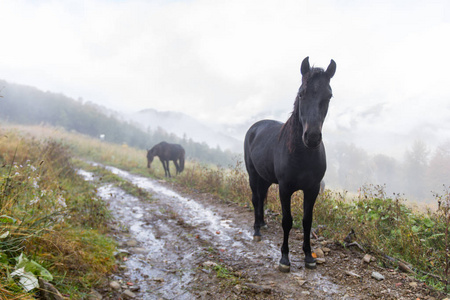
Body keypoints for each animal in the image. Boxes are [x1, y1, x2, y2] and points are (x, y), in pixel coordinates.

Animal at [244, 56, 336, 272]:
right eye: (302, 93)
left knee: (261, 197)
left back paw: (263, 223)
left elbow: (307, 221)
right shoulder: (285, 188)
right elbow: (287, 221)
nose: (312, 137)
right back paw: (257, 231)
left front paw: (308, 257)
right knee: (255, 198)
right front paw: (284, 259)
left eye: (329, 96)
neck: (302, 154)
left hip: (265, 178)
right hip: (253, 175)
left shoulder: (312, 189)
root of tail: (254, 128)